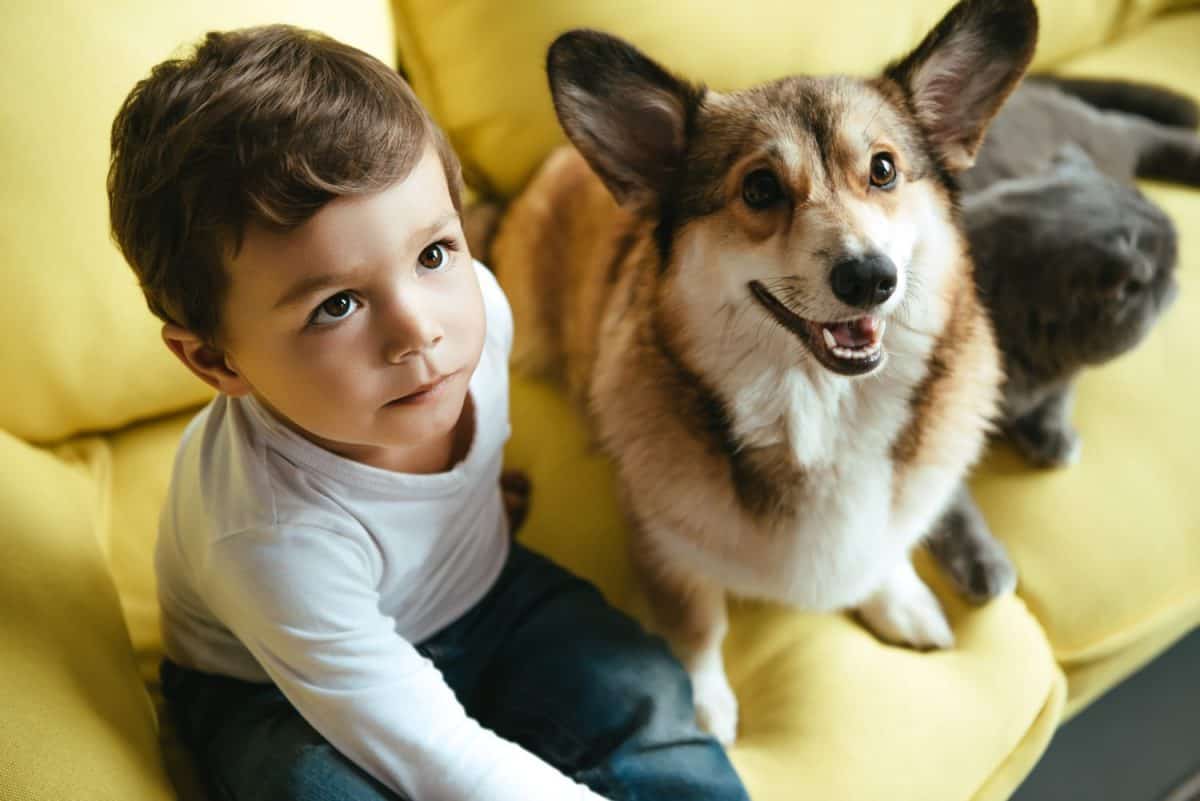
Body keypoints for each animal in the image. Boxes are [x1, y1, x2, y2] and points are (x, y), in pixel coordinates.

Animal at [487, 0, 1041, 743]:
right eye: (759, 188)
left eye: (884, 170)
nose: (871, 278)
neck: (820, 408)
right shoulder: (667, 550)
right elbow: (698, 627)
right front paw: (705, 704)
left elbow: (885, 550)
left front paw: (899, 600)